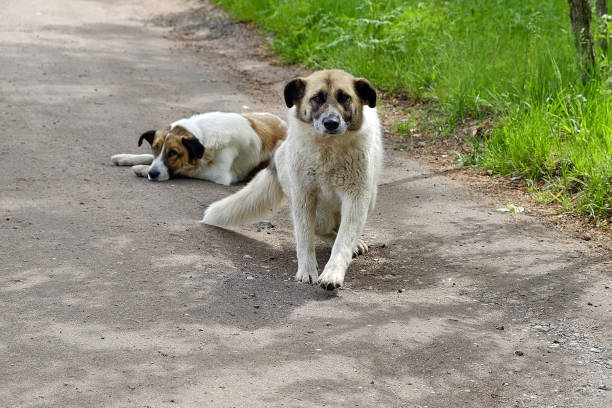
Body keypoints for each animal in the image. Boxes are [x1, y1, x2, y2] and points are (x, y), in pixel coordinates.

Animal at [110, 111, 286, 185]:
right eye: (155, 148)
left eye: (173, 153)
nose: (153, 174)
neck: (203, 137)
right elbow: (149, 157)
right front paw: (126, 158)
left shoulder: (221, 175)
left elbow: (188, 169)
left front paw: (142, 169)